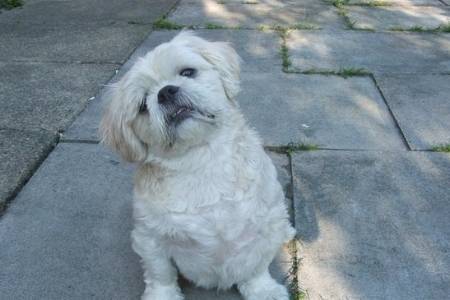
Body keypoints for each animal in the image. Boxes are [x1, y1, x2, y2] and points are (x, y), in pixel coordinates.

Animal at [100, 31, 296, 298]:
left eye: (187, 72)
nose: (165, 92)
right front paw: (162, 295)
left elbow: (256, 266)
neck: (201, 160)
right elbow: (160, 273)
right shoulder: (150, 238)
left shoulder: (264, 227)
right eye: (142, 106)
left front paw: (262, 290)